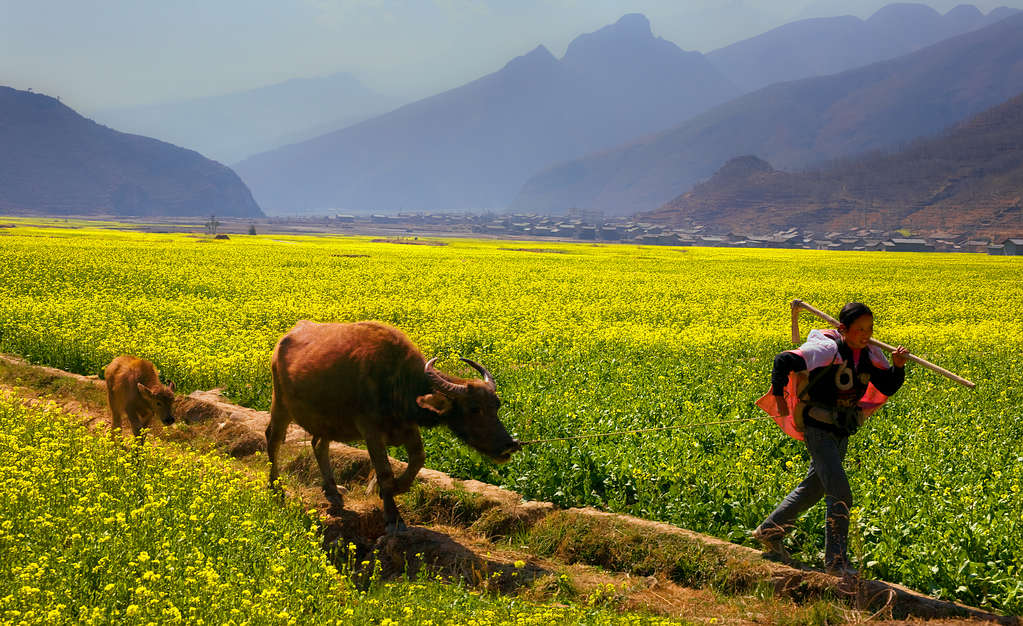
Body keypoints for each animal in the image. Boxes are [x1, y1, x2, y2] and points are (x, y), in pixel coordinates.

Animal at [268, 321, 519, 531]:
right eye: (474, 409)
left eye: (496, 405)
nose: (510, 444)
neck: (395, 383)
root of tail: (284, 339)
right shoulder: (371, 431)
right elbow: (385, 471)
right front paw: (393, 515)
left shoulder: (407, 428)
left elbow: (418, 459)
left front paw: (394, 488)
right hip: (280, 403)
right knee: (273, 438)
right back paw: (275, 487)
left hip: (327, 420)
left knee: (319, 444)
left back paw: (332, 489)